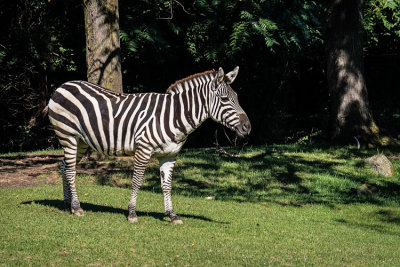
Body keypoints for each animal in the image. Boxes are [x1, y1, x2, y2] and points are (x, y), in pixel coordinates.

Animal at [47, 66, 250, 224]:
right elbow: (137, 181)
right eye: (225, 99)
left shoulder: (170, 155)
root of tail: (64, 85)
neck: (174, 116)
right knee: (71, 170)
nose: (248, 127)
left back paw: (67, 203)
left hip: (80, 141)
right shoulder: (143, 150)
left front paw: (172, 215)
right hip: (68, 135)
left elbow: (167, 185)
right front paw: (132, 213)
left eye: (238, 97)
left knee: (64, 166)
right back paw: (76, 207)